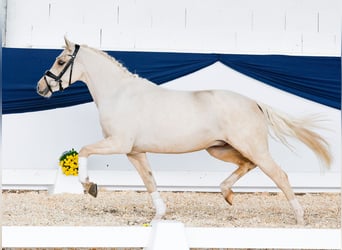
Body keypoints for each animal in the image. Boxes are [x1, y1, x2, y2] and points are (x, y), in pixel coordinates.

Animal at [36, 37, 330, 225]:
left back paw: (299, 218)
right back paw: (227, 194)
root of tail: (254, 103)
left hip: (252, 147)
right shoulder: (134, 152)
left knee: (279, 175)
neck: (120, 94)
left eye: (61, 61)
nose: (40, 87)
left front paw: (90, 186)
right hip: (220, 149)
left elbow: (84, 150)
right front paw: (159, 215)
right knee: (247, 166)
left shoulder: (118, 143)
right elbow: (149, 180)